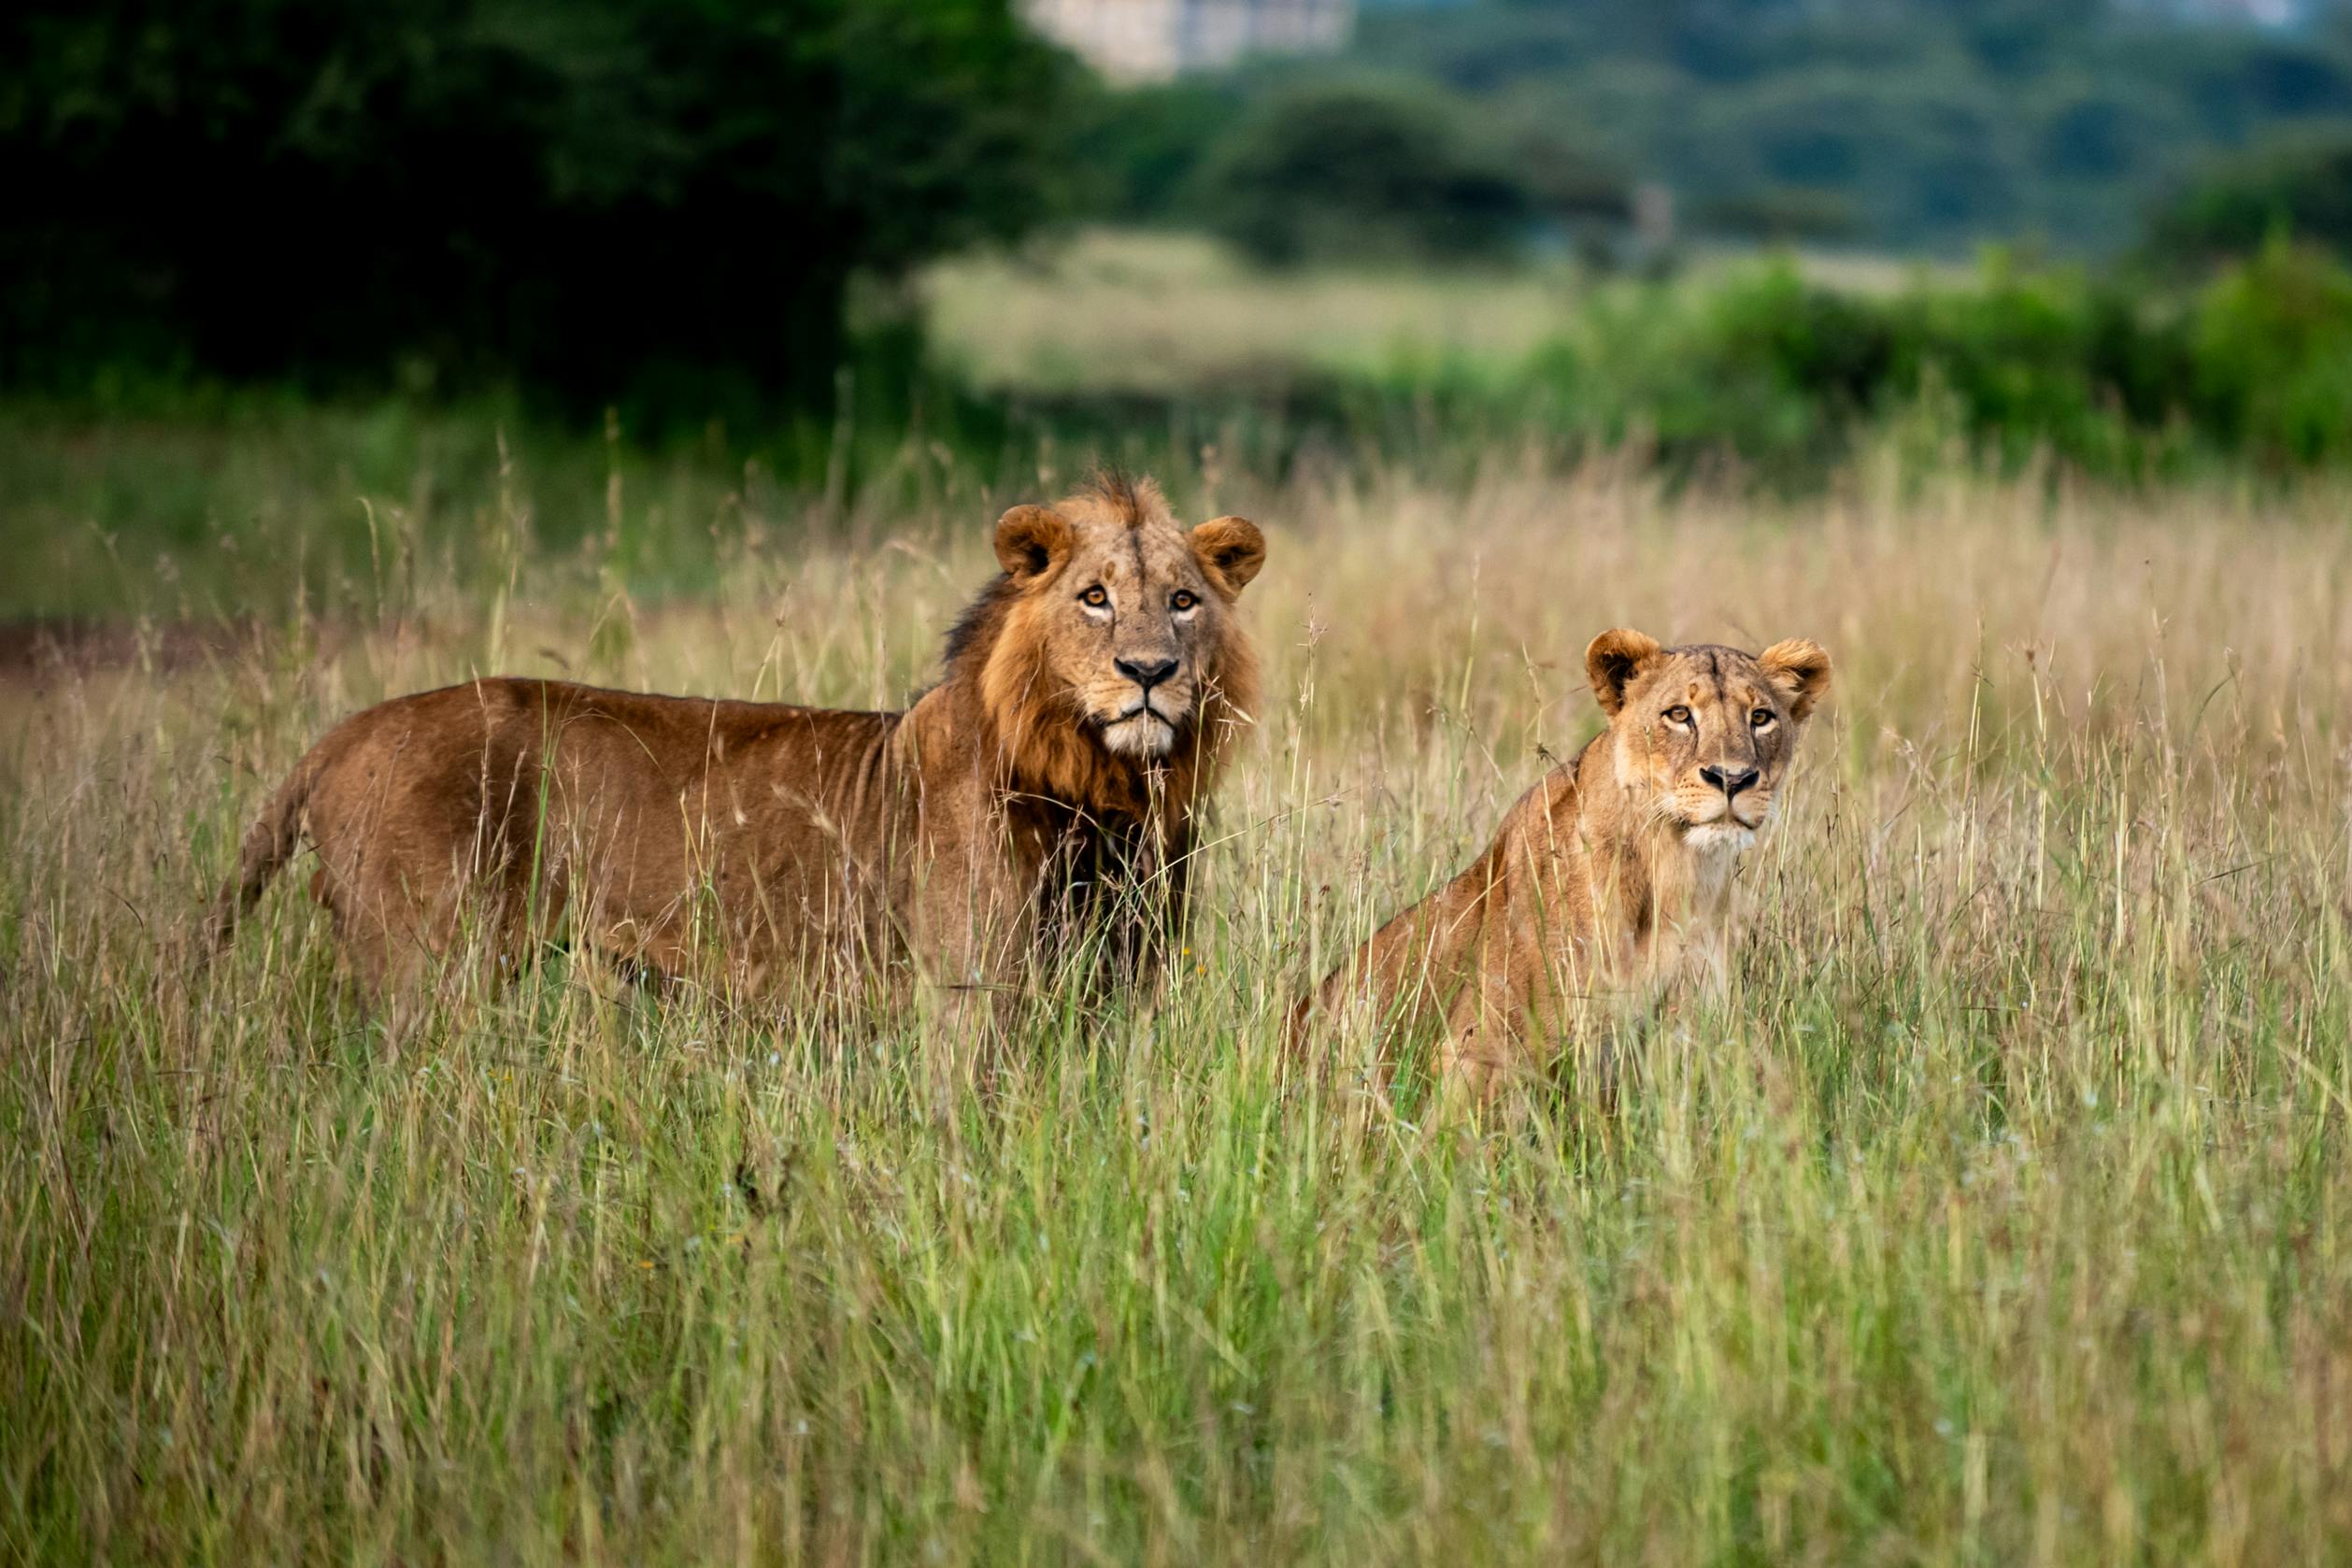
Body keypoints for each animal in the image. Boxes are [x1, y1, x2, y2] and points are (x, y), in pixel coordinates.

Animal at [208, 474, 1267, 1024]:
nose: (1148, 671)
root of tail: (345, 731)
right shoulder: (968, 995)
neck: (1105, 789)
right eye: (1093, 596)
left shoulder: (1121, 989)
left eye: (1184, 600)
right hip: (427, 970)